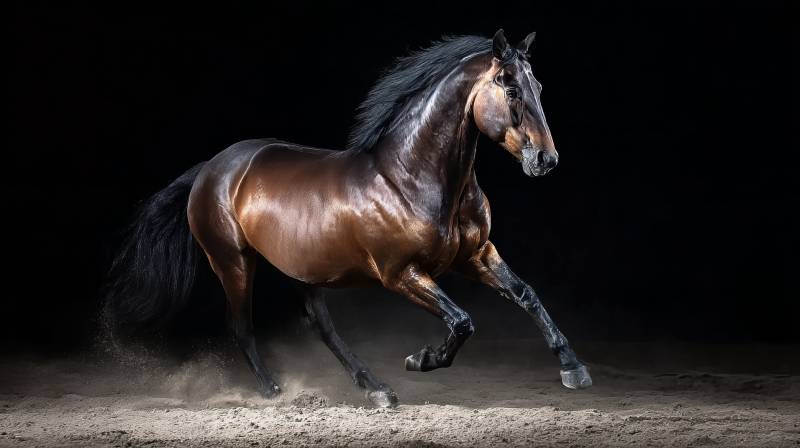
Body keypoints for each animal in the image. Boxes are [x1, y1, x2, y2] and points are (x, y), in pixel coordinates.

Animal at [104, 29, 592, 408]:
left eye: (539, 87)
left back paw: (376, 389)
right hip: (233, 262)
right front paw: (420, 360)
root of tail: (211, 168)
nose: (546, 160)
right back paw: (274, 391)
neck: (410, 177)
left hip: (302, 269)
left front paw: (574, 369)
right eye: (511, 89)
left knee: (321, 326)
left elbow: (526, 295)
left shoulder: (476, 255)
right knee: (241, 326)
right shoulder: (401, 274)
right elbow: (461, 321)